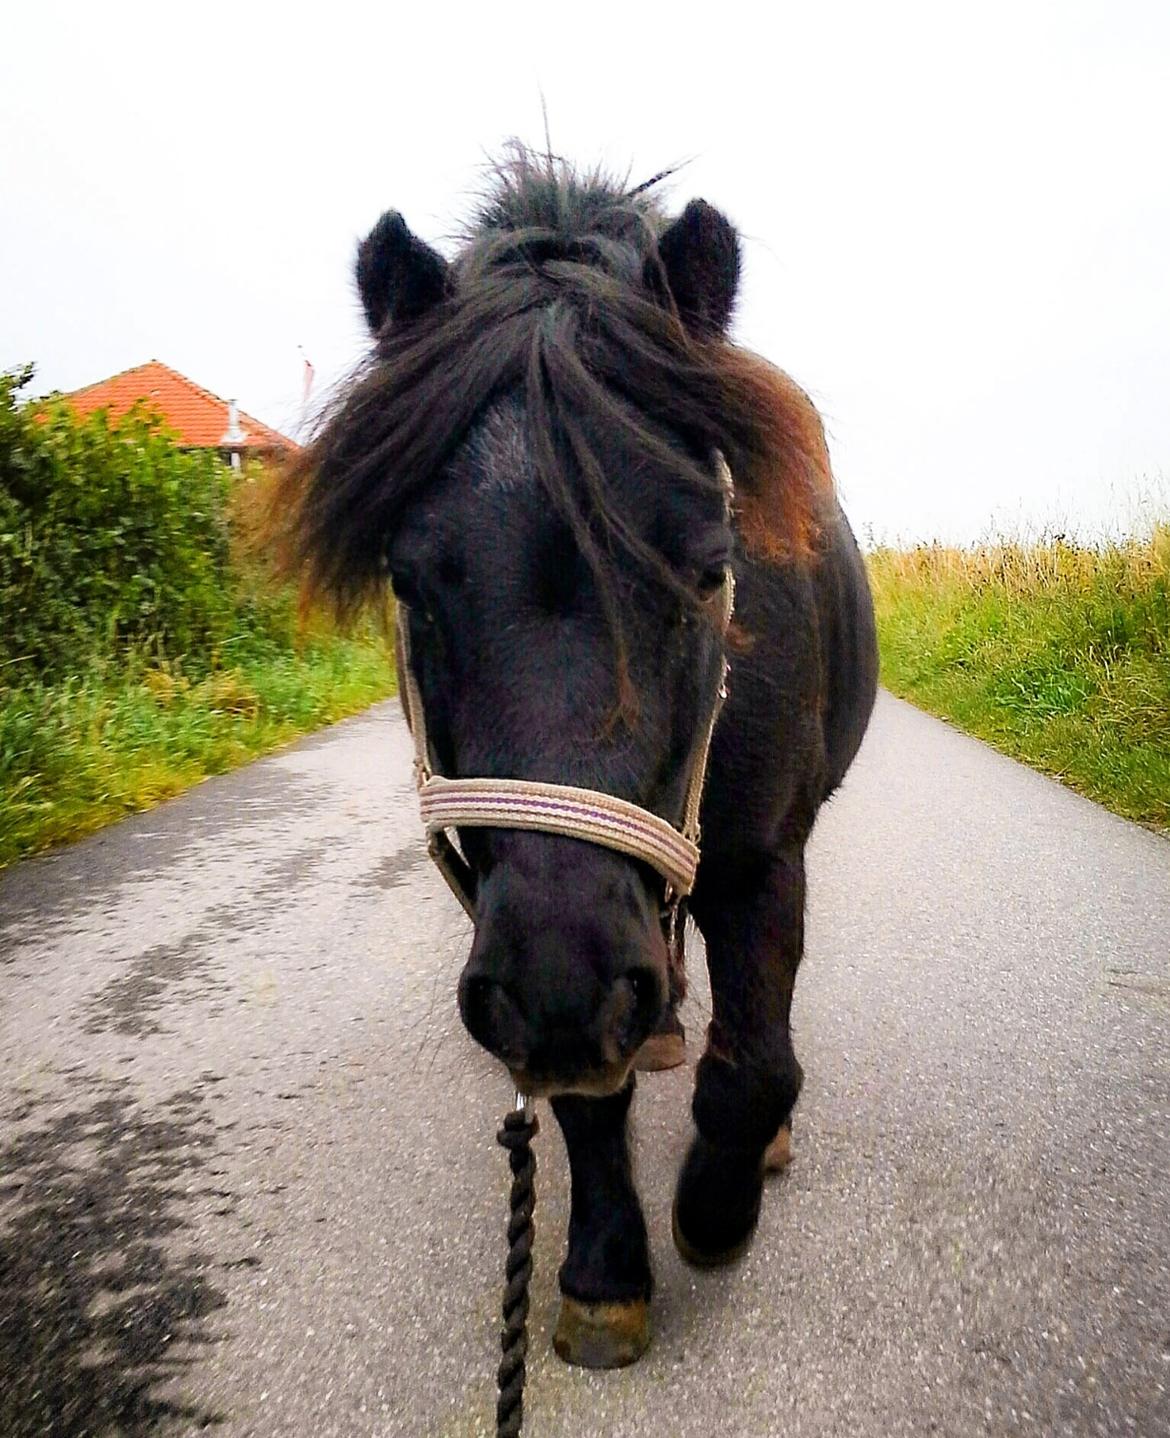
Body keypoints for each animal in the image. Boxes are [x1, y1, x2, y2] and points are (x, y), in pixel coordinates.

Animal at [277, 154, 879, 1368]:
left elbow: (755, 1065)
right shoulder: (521, 937)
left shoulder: (763, 859)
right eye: (410, 583)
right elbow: (585, 1100)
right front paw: (606, 1272)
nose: (567, 985)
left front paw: (715, 1210)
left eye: (711, 567)